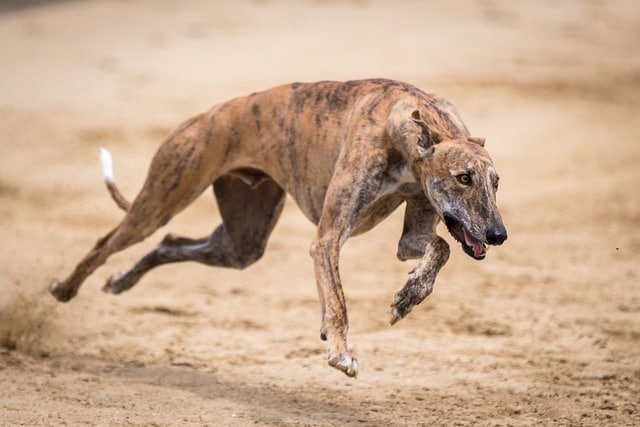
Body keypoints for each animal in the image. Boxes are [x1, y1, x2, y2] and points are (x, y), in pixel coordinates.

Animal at [50, 79, 508, 378]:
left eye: (496, 181)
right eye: (463, 178)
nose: (498, 235)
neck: (409, 125)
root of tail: (207, 115)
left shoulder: (411, 234)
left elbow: (438, 248)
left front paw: (408, 295)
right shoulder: (327, 238)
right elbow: (338, 302)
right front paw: (342, 352)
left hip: (241, 243)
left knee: (169, 242)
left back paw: (122, 280)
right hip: (160, 199)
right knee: (105, 243)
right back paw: (64, 288)